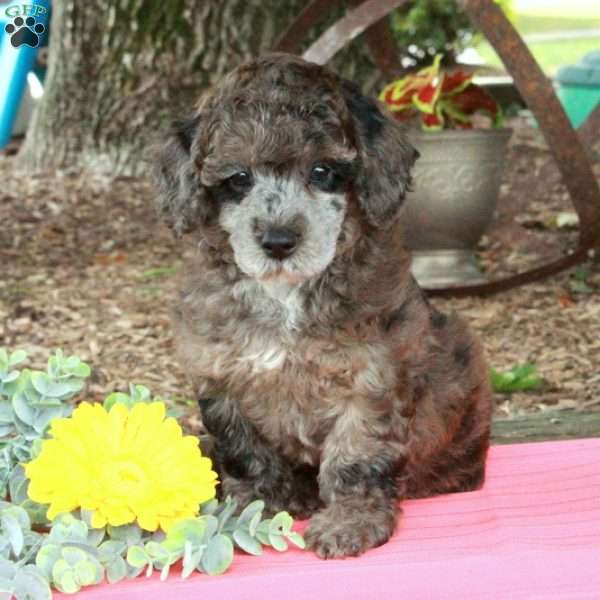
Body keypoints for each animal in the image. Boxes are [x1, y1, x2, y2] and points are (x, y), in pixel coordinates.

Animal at [154, 54, 492, 560]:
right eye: (239, 178)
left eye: (321, 171)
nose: (278, 241)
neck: (284, 294)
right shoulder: (221, 374)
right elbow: (245, 451)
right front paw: (254, 507)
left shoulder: (373, 378)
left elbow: (357, 456)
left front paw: (350, 520)